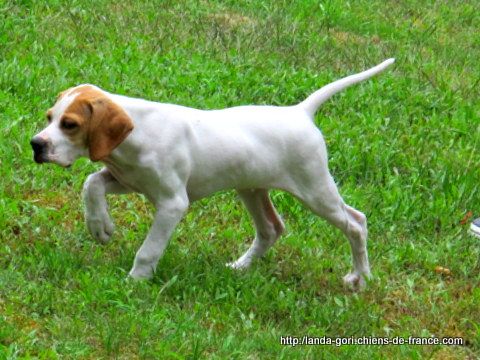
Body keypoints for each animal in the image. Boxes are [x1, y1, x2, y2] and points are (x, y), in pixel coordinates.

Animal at [31, 58, 396, 290]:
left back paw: (361, 278)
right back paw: (240, 267)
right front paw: (100, 227)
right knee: (271, 229)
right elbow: (91, 184)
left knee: (356, 223)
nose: (36, 144)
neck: (138, 134)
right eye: (49, 117)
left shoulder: (173, 203)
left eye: (70, 124)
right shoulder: (127, 179)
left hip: (315, 190)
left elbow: (149, 249)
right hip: (251, 188)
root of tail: (300, 112)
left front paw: (135, 282)